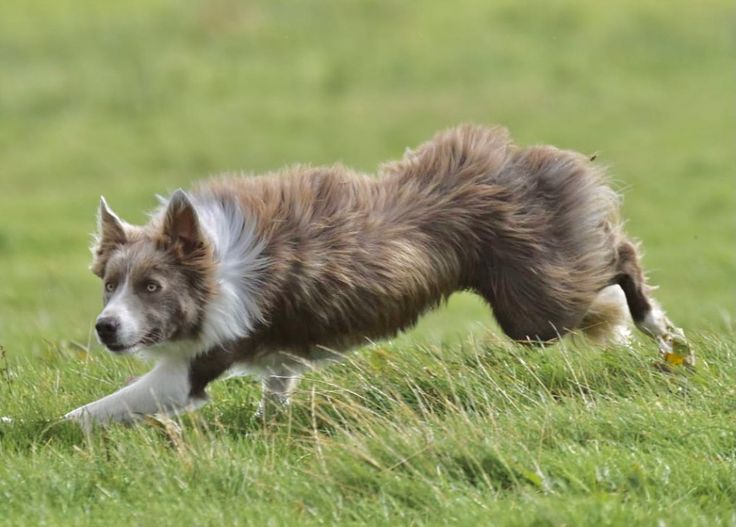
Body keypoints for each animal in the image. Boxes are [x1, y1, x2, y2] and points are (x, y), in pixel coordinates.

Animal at [66, 126, 692, 426]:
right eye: (109, 285)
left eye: (152, 287)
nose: (105, 327)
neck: (215, 268)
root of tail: (522, 162)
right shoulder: (273, 346)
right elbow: (278, 381)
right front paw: (271, 423)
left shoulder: (194, 365)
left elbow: (94, 412)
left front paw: (53, 430)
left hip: (533, 310)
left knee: (621, 256)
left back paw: (660, 330)